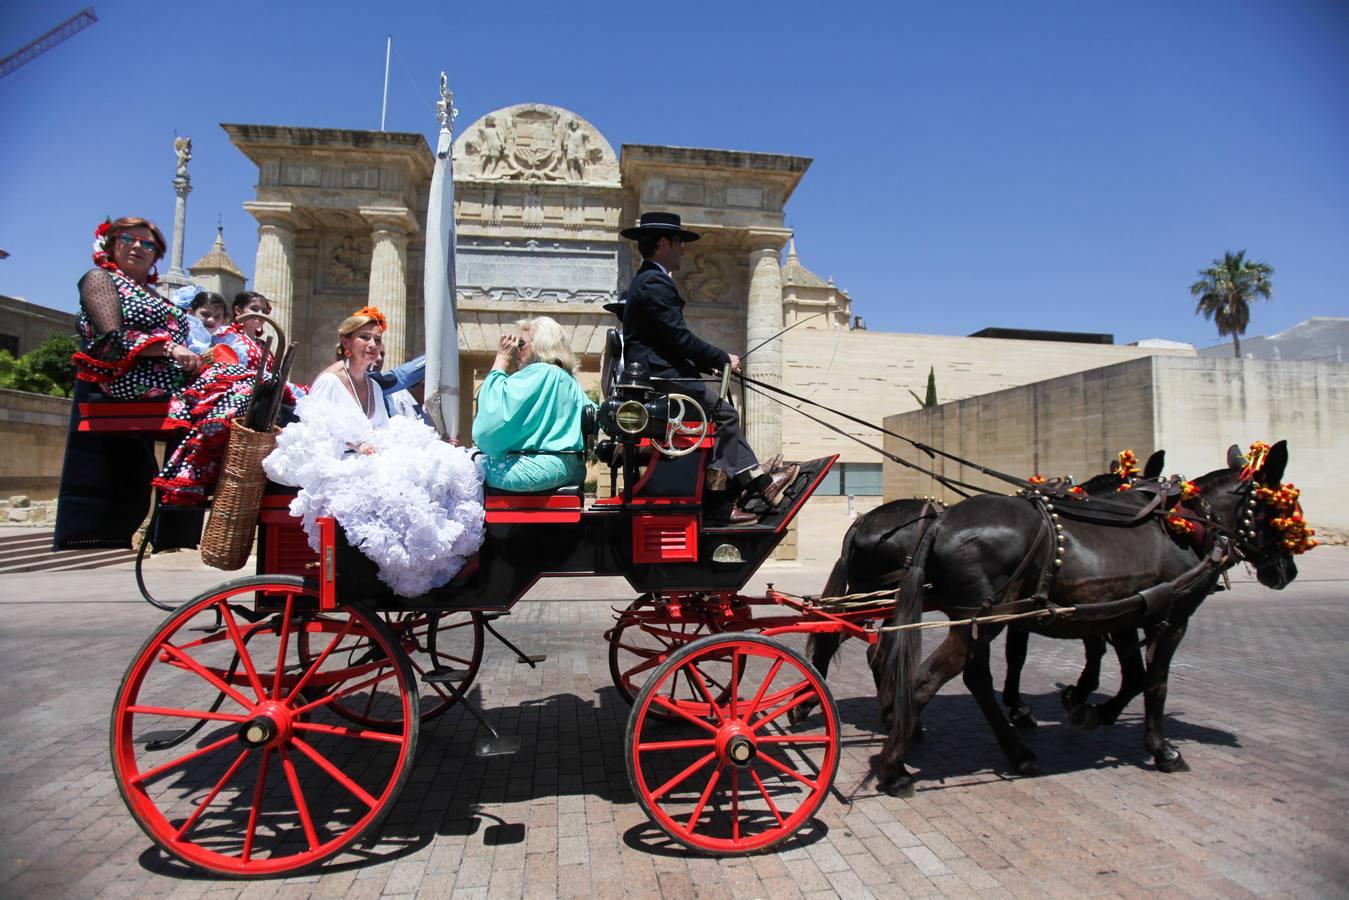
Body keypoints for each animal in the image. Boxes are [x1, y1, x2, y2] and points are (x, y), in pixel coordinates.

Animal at [868, 442, 1300, 793]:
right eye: (1282, 509)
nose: (1287, 572)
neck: (1186, 525)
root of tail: (941, 522)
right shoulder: (1171, 619)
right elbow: (1154, 683)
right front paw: (1161, 749)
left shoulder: (1120, 614)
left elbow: (1131, 675)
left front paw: (1088, 708)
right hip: (980, 620)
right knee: (924, 679)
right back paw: (895, 767)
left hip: (975, 621)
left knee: (954, 673)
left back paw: (1011, 751)